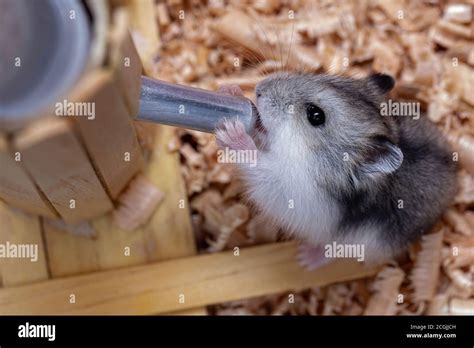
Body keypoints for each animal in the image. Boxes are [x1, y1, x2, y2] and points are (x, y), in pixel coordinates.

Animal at [217, 72, 458, 266]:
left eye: (315, 115)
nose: (259, 89)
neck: (311, 156)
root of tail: (455, 180)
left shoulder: (286, 186)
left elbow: (258, 163)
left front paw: (231, 132)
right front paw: (230, 91)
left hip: (363, 242)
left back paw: (306, 258)